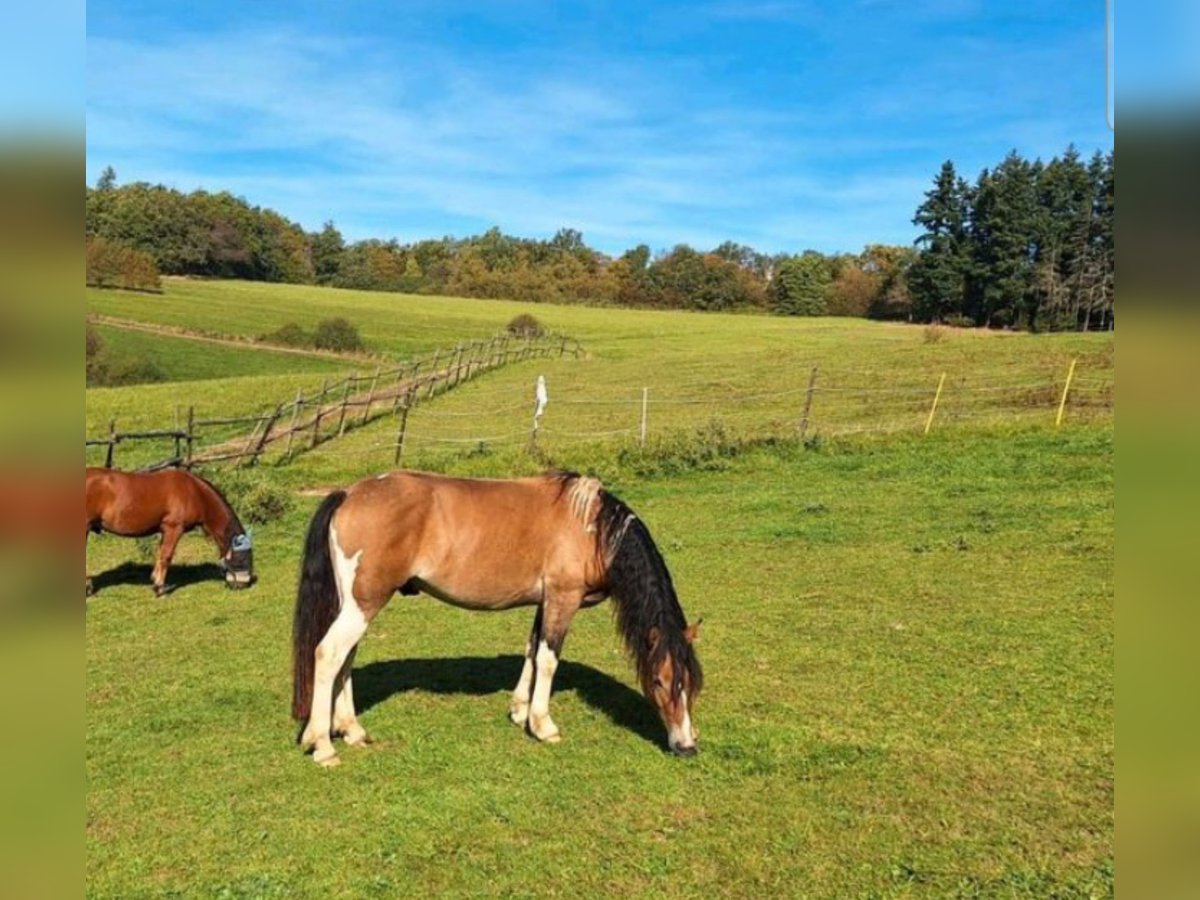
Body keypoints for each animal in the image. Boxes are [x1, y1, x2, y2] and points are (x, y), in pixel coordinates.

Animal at [85, 465, 255, 600]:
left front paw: (155, 580)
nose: (243, 585)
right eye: (243, 558)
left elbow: (160, 554)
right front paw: (159, 588)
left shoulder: (164, 530)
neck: (194, 492)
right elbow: (166, 556)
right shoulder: (174, 528)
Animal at [291, 472, 700, 768]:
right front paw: (543, 725)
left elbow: (532, 650)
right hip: (364, 603)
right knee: (328, 654)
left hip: (356, 606)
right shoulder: (562, 600)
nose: (687, 745)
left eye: (693, 686)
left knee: (346, 659)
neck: (594, 529)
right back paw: (322, 744)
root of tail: (349, 493)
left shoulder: (544, 602)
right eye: (661, 682)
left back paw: (351, 730)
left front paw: (520, 711)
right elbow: (548, 659)